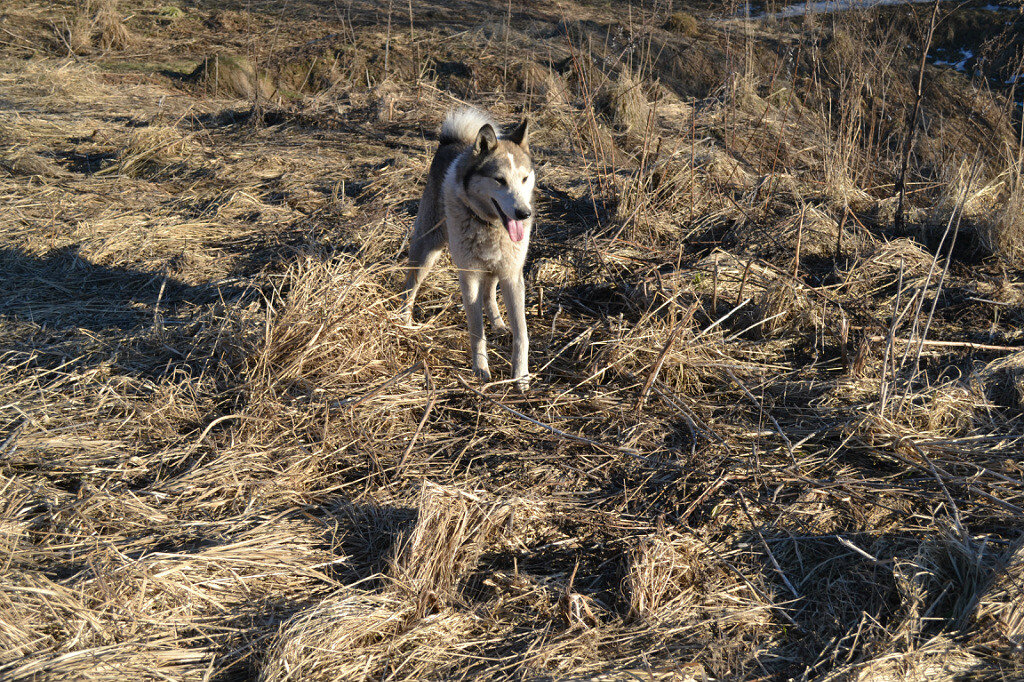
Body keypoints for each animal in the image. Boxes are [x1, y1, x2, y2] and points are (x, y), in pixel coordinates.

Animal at [399, 109, 536, 391]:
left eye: (524, 178)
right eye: (499, 180)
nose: (523, 213)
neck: (488, 223)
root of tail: (451, 142)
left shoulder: (512, 275)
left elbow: (522, 334)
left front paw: (521, 376)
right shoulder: (469, 276)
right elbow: (476, 330)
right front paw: (481, 368)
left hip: (493, 267)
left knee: (489, 293)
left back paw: (498, 323)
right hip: (427, 250)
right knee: (410, 287)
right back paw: (404, 322)